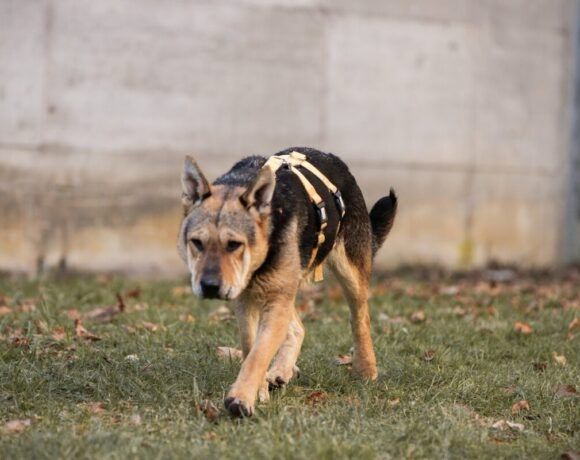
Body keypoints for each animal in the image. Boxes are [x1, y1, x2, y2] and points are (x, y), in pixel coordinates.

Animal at [174, 147, 396, 416]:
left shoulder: (274, 297)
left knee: (359, 318)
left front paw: (241, 398)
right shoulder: (248, 299)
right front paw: (258, 390)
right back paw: (281, 370)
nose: (209, 286)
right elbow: (251, 347)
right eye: (197, 243)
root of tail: (332, 157)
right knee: (299, 327)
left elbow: (258, 353)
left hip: (348, 272)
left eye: (234, 244)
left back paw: (366, 369)